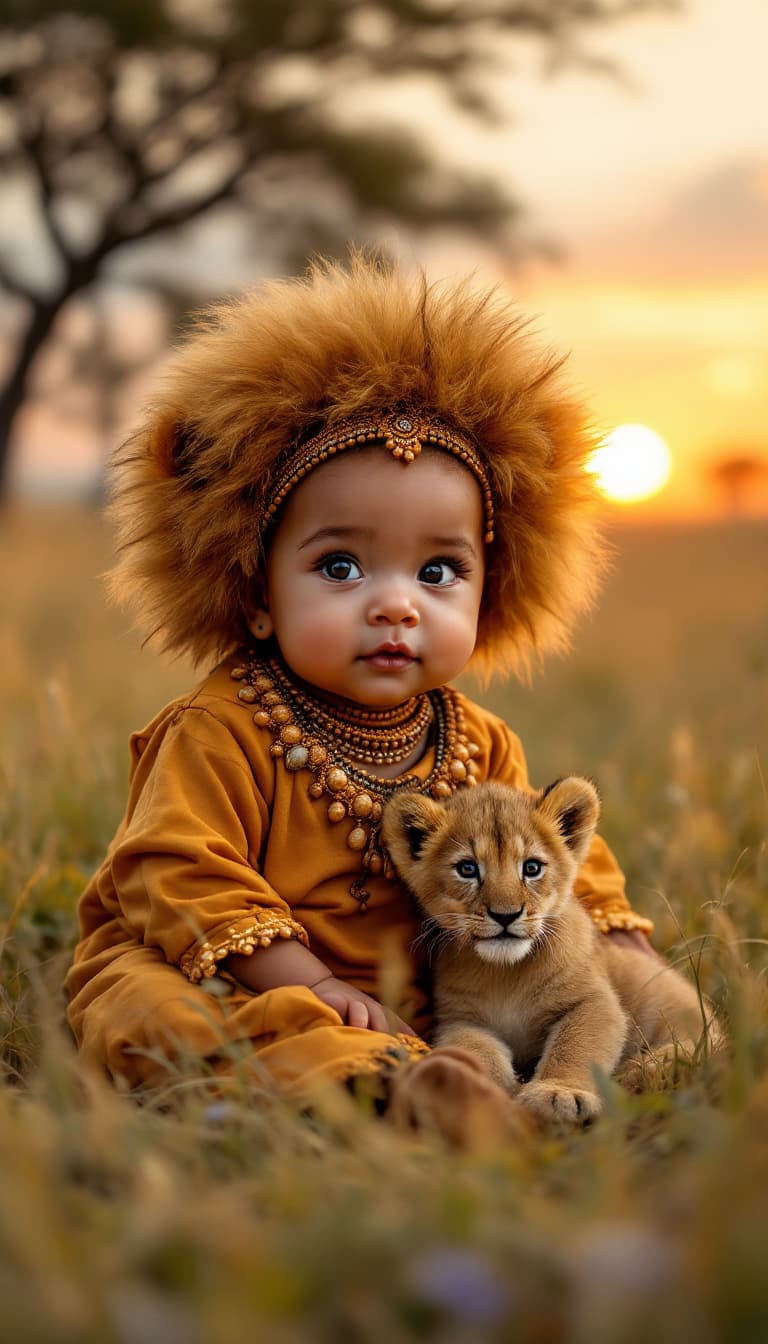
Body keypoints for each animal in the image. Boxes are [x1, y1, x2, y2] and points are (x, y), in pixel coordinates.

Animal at [382, 779, 721, 1124]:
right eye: (467, 869)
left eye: (532, 868)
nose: (505, 915)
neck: (505, 973)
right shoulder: (461, 1020)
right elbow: (477, 1050)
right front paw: (499, 1091)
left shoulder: (594, 1001)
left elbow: (576, 1046)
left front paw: (559, 1094)